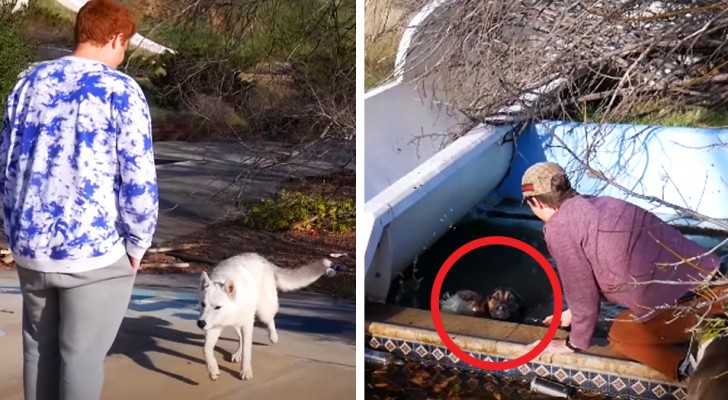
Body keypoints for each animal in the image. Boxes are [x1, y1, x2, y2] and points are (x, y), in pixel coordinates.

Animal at [198, 253, 336, 382]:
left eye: (218, 307)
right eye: (203, 304)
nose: (200, 323)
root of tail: (263, 261)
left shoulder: (246, 324)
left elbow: (247, 351)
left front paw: (246, 371)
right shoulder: (214, 327)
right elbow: (206, 349)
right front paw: (213, 369)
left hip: (262, 311)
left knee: (270, 320)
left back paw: (273, 336)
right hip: (241, 321)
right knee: (241, 337)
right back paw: (238, 353)